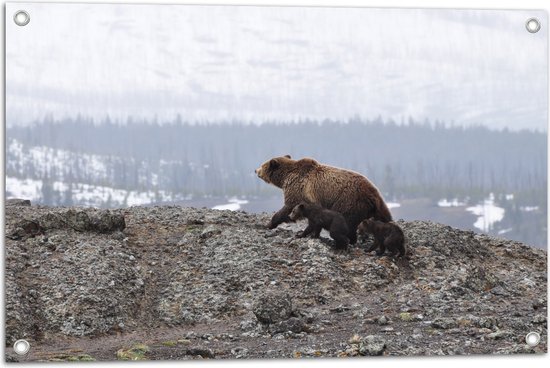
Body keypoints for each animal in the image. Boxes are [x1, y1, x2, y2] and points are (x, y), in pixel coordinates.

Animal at [256, 155, 394, 244]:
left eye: (262, 165)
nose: (255, 170)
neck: (286, 177)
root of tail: (374, 194)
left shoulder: (298, 190)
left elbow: (288, 207)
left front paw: (269, 224)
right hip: (375, 208)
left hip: (349, 202)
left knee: (348, 224)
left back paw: (348, 240)